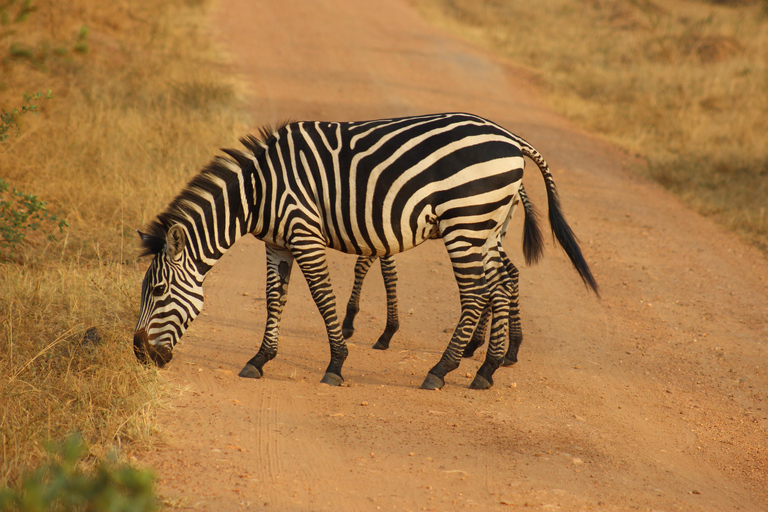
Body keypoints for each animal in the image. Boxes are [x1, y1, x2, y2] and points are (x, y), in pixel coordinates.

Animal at [340, 184, 544, 368]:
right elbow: (373, 265)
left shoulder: (382, 227)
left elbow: (377, 269)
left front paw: (373, 328)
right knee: (508, 275)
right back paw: (505, 348)